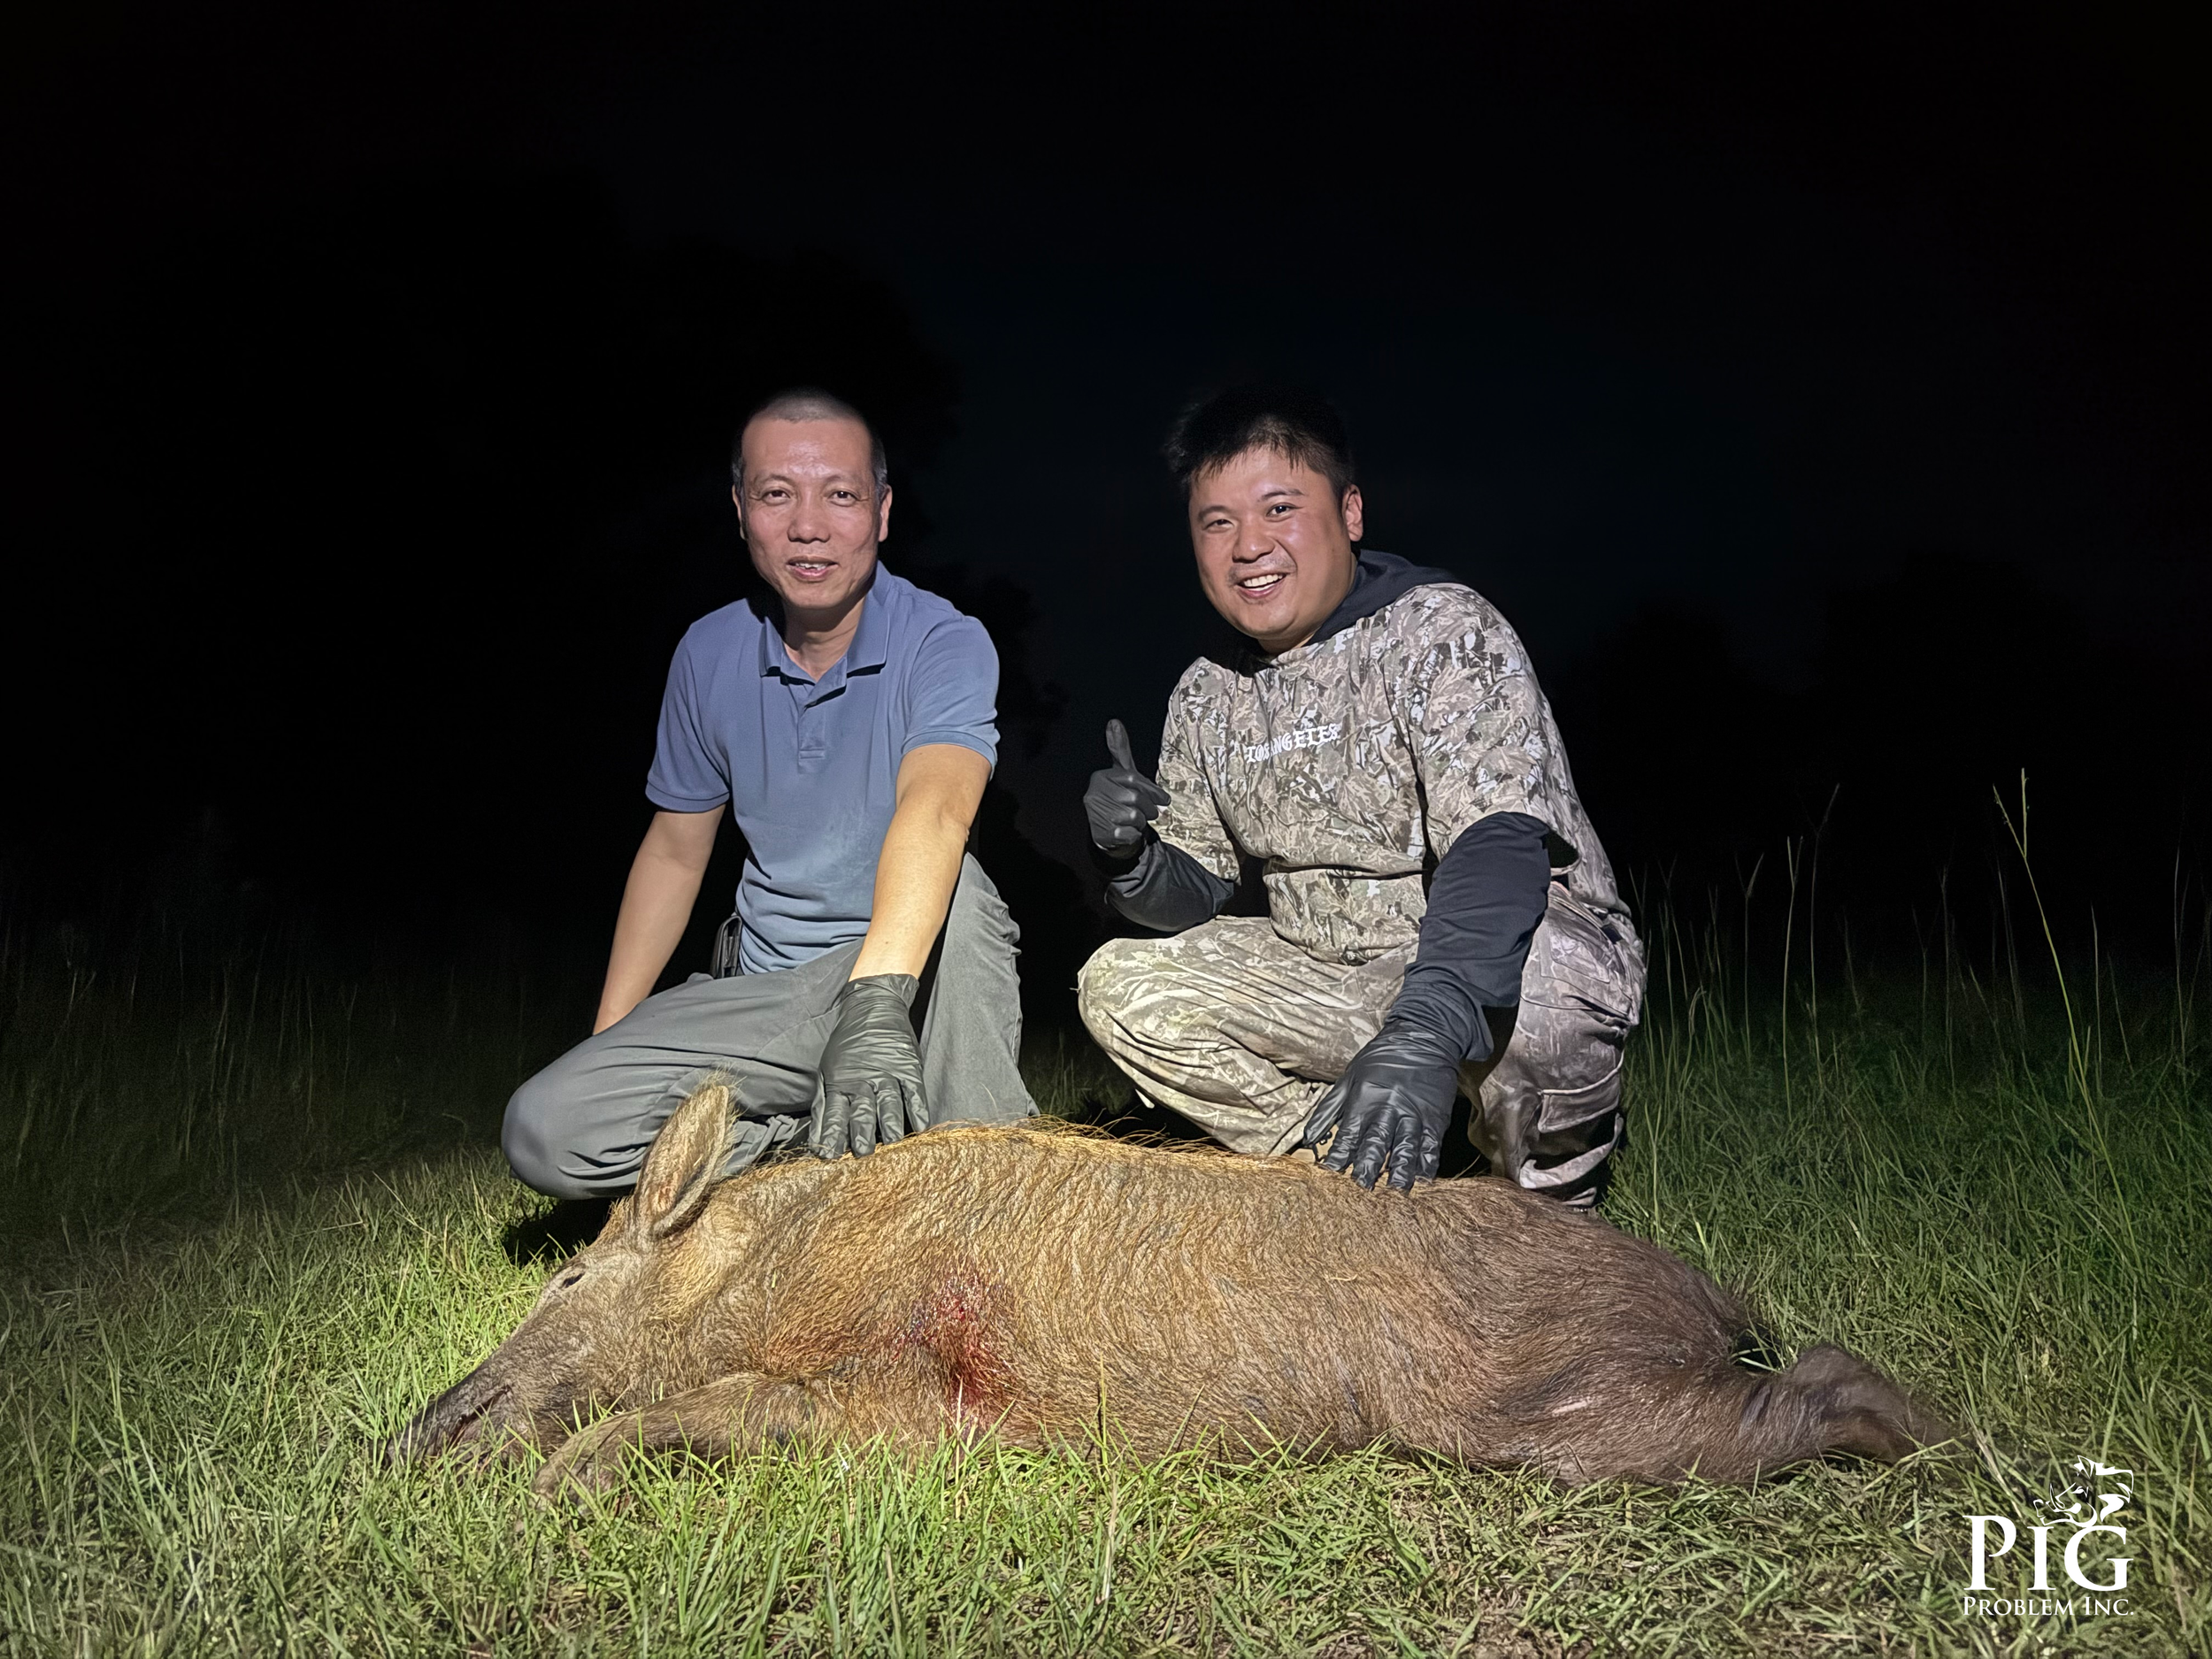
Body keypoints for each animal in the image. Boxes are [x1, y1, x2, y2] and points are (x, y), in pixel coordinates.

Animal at [393, 1081, 1951, 1496]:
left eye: (572, 1269)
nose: (410, 1432)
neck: (781, 1271)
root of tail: (1709, 1290)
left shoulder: (910, 1378)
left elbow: (720, 1400)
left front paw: (563, 1484)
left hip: (1547, 1410)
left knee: (1814, 1386)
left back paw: (1947, 1440)